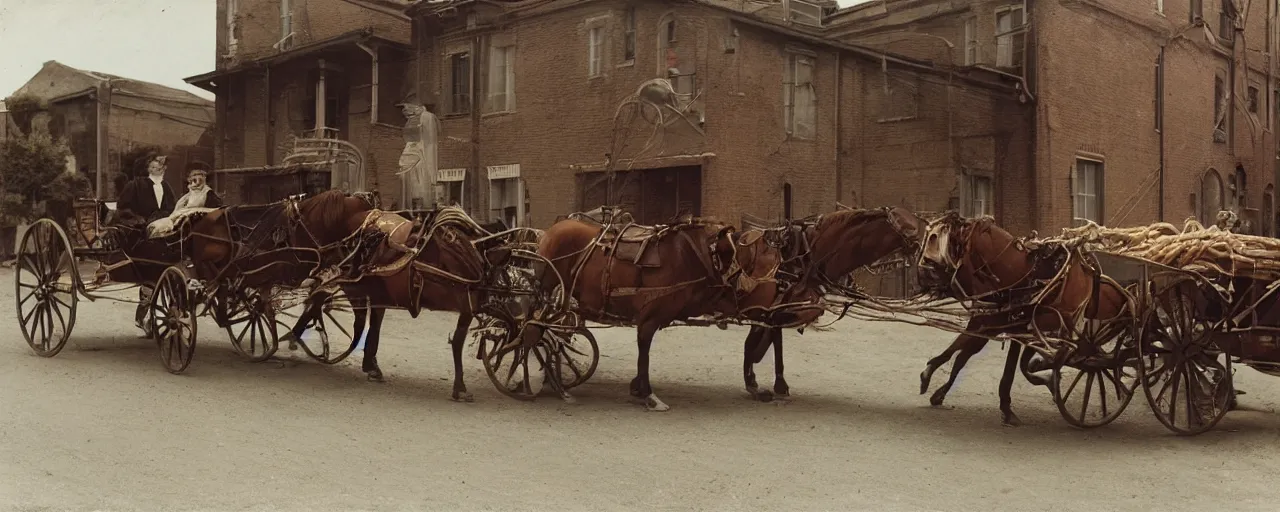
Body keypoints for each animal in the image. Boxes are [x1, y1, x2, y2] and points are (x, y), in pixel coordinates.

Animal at [527, 212, 783, 412]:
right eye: (733, 255)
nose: (773, 290)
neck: (690, 255)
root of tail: (550, 232)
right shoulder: (649, 318)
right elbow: (644, 353)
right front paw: (647, 394)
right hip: (546, 286)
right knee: (533, 328)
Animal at [737, 206, 926, 401]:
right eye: (908, 226)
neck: (809, 256)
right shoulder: (771, 310)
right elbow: (762, 342)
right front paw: (758, 382)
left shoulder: (777, 311)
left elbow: (763, 341)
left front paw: (764, 380)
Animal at [911, 212, 1131, 424]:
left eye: (940, 239)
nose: (923, 276)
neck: (1019, 276)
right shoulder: (987, 324)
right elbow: (960, 353)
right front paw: (931, 379)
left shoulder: (1013, 328)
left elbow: (1009, 368)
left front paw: (1009, 407)